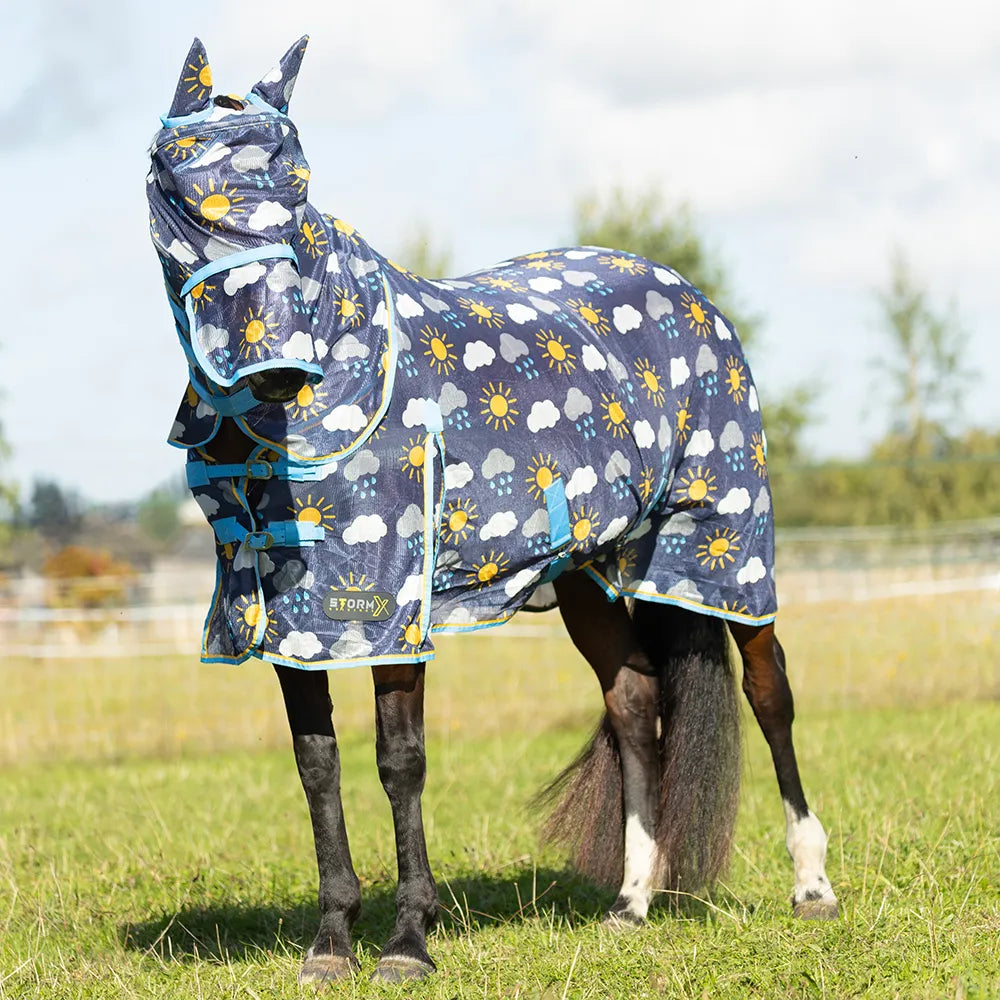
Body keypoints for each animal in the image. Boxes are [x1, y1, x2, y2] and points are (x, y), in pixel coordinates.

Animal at [146, 36, 838, 984]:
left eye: (299, 180)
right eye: (181, 186)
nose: (275, 367)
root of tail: (685, 293)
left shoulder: (392, 605)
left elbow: (398, 761)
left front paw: (408, 942)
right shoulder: (292, 619)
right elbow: (317, 766)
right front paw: (331, 942)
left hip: (731, 550)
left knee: (771, 697)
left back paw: (811, 888)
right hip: (591, 577)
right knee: (635, 704)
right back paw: (631, 902)